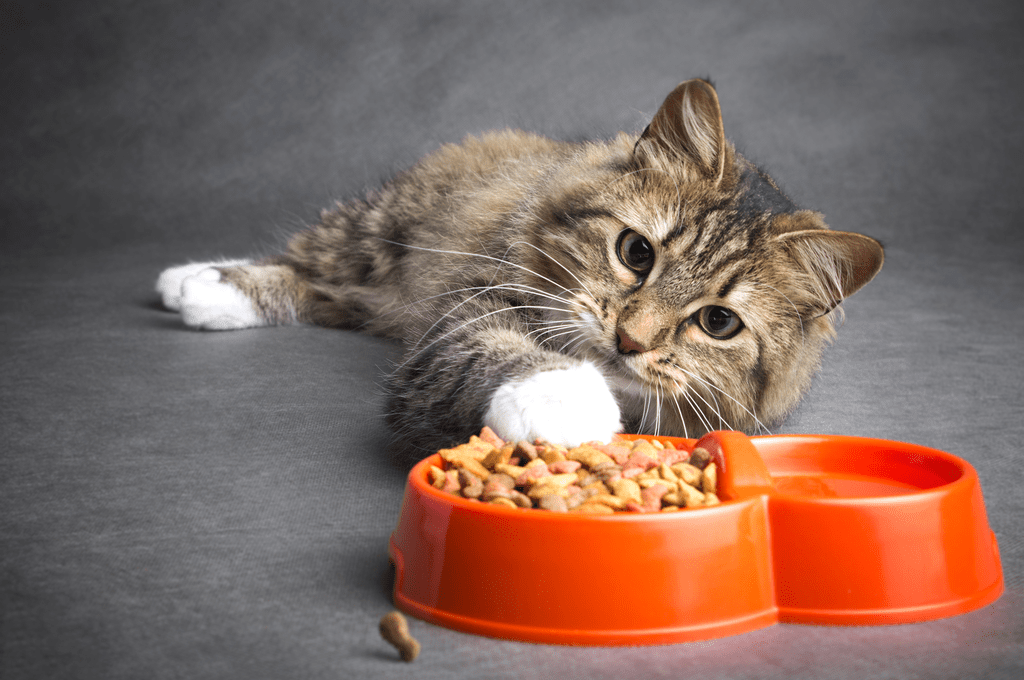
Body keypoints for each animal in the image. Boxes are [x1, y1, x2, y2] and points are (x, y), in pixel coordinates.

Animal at [155, 78, 884, 450]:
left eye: (718, 323)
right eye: (636, 253)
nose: (629, 340)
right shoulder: (459, 318)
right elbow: (500, 352)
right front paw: (561, 398)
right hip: (378, 231)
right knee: (304, 264)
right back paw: (197, 283)